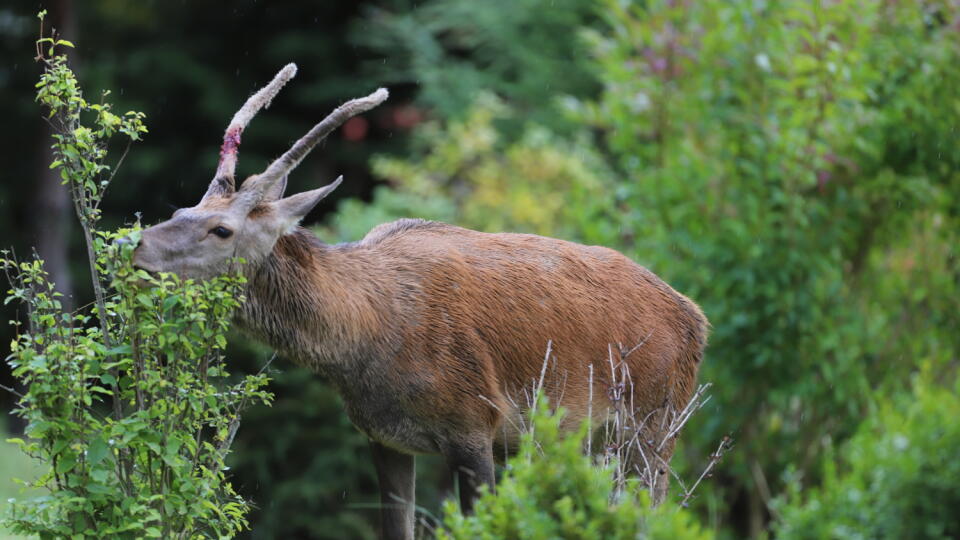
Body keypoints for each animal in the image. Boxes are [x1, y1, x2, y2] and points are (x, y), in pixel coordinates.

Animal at [131, 66, 708, 540]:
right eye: (181, 209)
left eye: (221, 229)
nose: (134, 247)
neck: (365, 340)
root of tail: (697, 319)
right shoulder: (384, 437)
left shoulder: (477, 424)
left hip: (656, 425)